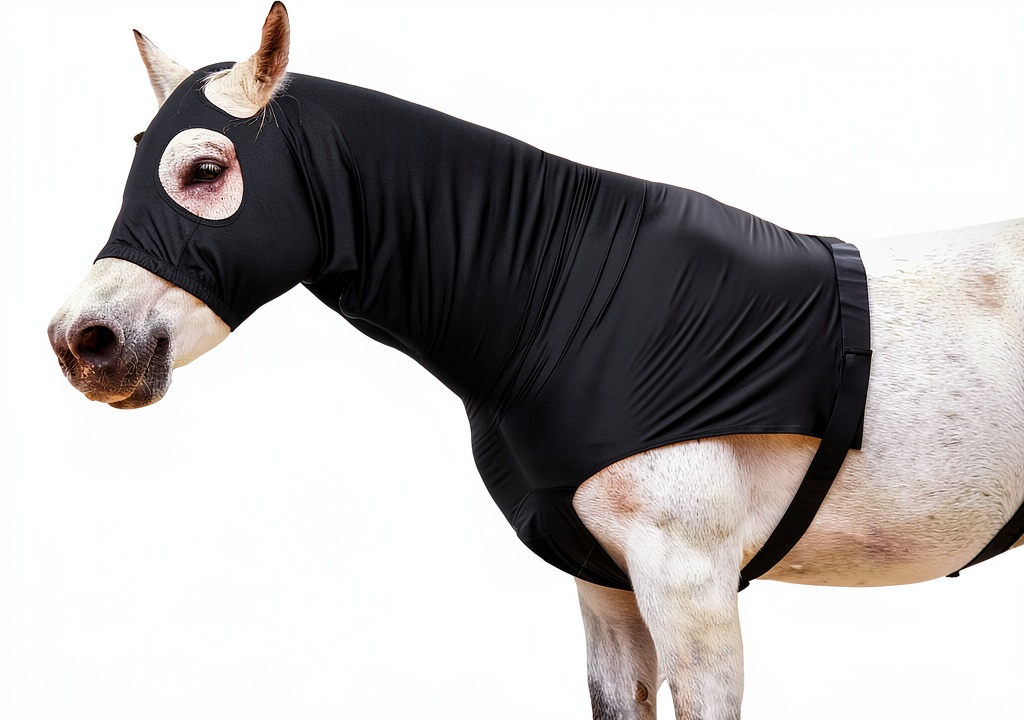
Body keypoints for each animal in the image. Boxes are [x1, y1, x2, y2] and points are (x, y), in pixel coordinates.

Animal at [46, 4, 1024, 718]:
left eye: (205, 171)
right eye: (134, 159)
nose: (83, 342)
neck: (575, 307)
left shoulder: (694, 589)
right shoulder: (607, 589)